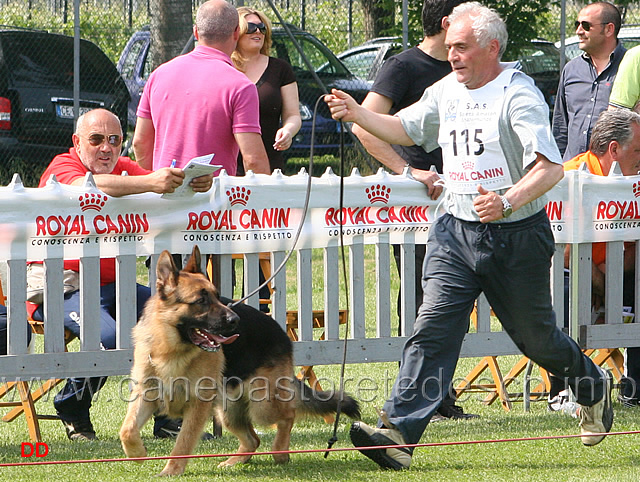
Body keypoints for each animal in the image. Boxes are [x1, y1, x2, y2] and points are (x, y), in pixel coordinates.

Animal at [120, 247, 360, 476]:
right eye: (201, 301)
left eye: (217, 296)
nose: (235, 320)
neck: (171, 349)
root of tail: (280, 331)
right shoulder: (145, 394)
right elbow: (127, 429)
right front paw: (137, 453)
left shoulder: (197, 405)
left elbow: (183, 441)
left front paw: (171, 470)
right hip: (226, 412)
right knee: (254, 439)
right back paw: (235, 461)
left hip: (262, 404)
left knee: (287, 415)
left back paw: (280, 452)